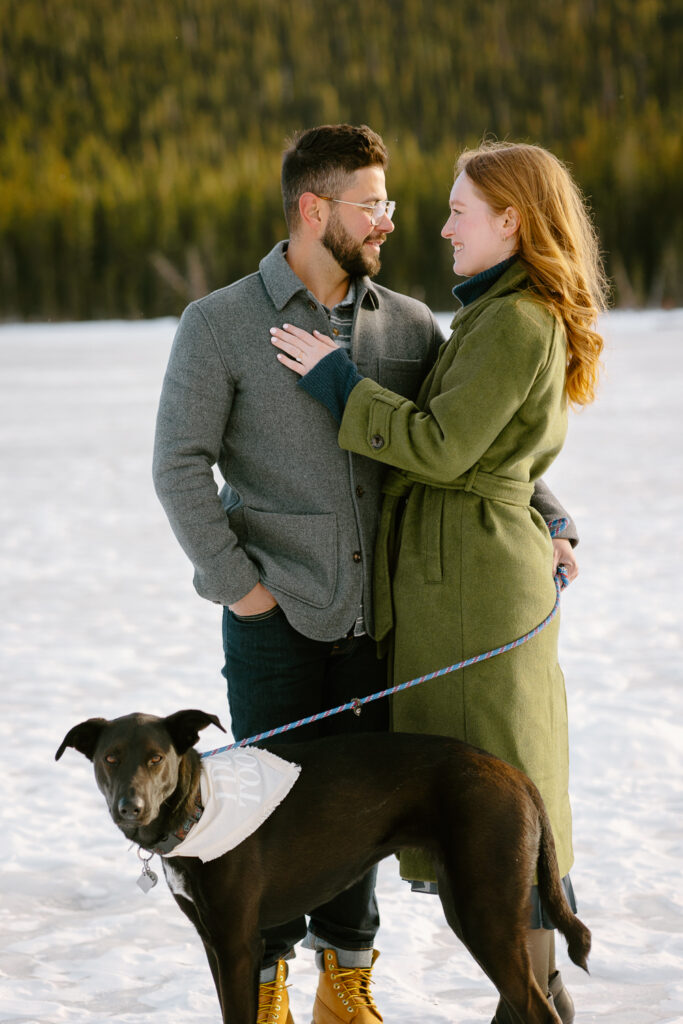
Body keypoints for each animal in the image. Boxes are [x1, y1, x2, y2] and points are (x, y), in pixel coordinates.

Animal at [56, 712, 589, 1024]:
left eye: (156, 759)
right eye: (110, 758)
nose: (131, 808)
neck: (198, 807)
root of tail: (516, 775)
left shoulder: (236, 943)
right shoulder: (213, 941)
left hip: (484, 910)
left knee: (538, 1009)